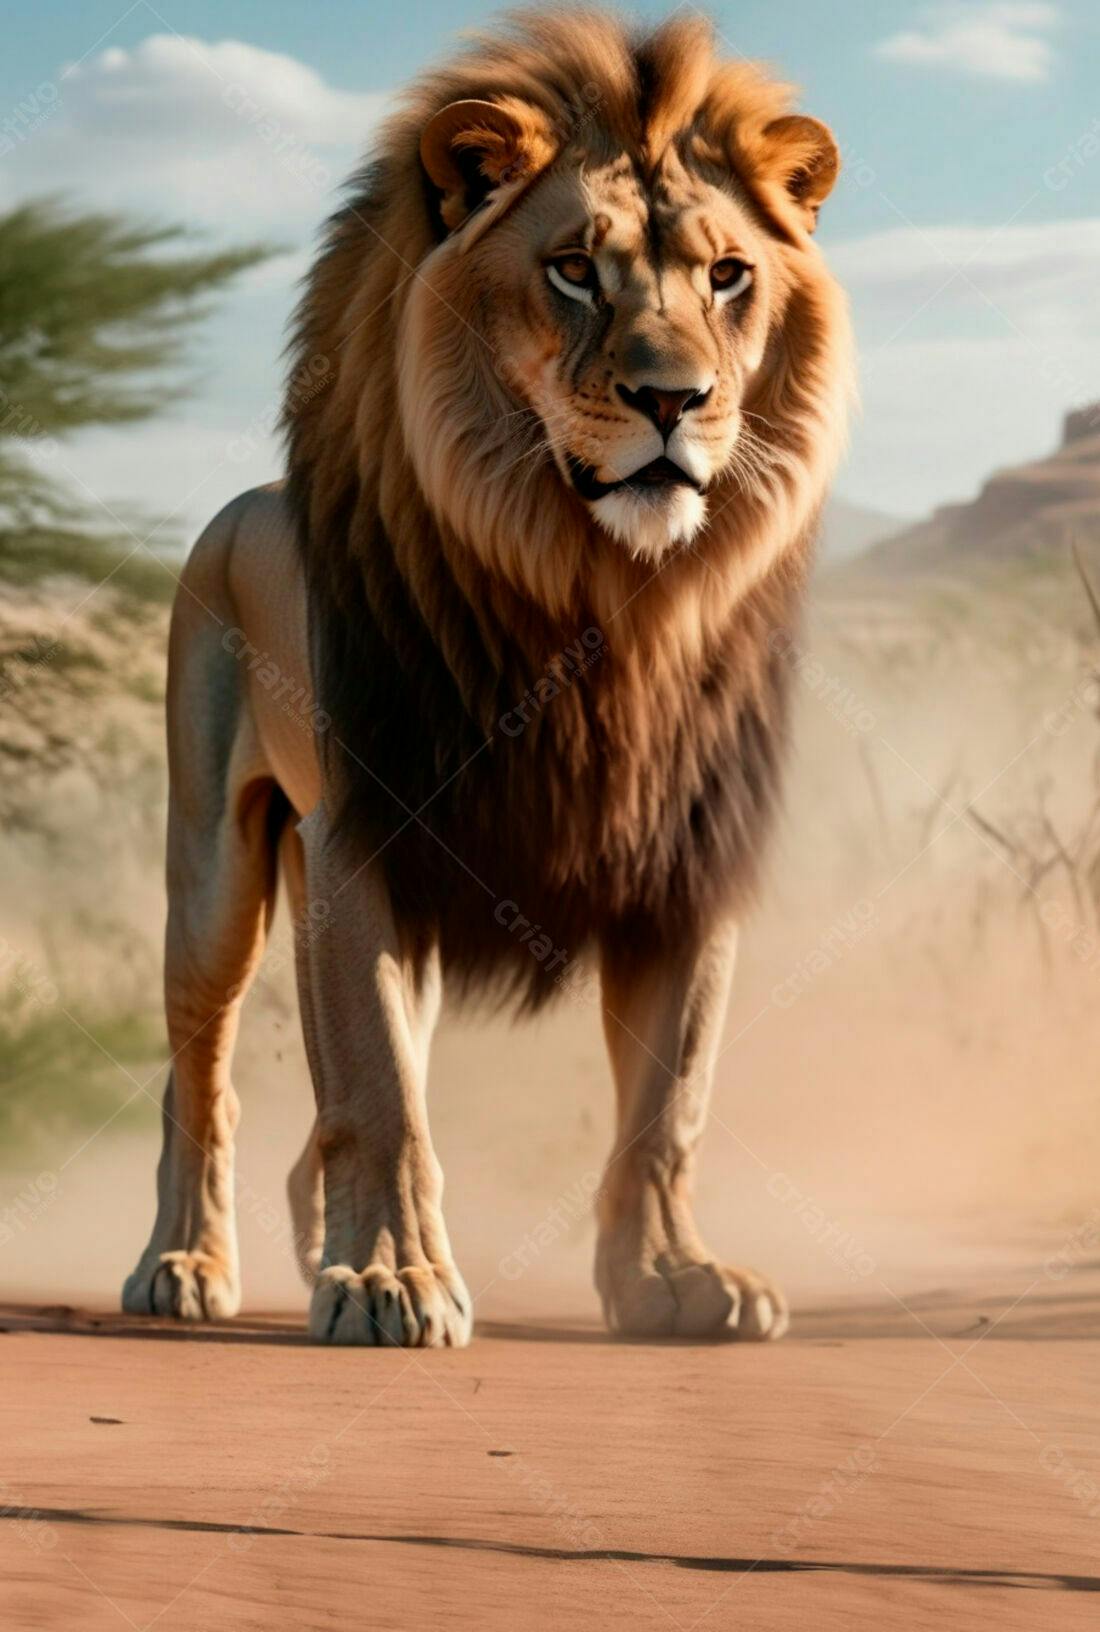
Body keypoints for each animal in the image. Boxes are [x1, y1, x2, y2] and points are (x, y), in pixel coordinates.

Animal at [122, 7, 854, 1345]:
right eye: (573, 269)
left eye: (728, 277)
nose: (673, 400)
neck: (604, 600)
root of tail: (239, 507)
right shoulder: (363, 836)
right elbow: (379, 1093)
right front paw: (390, 1282)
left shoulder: (685, 863)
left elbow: (666, 1106)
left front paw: (671, 1280)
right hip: (214, 874)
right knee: (201, 1078)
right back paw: (184, 1266)